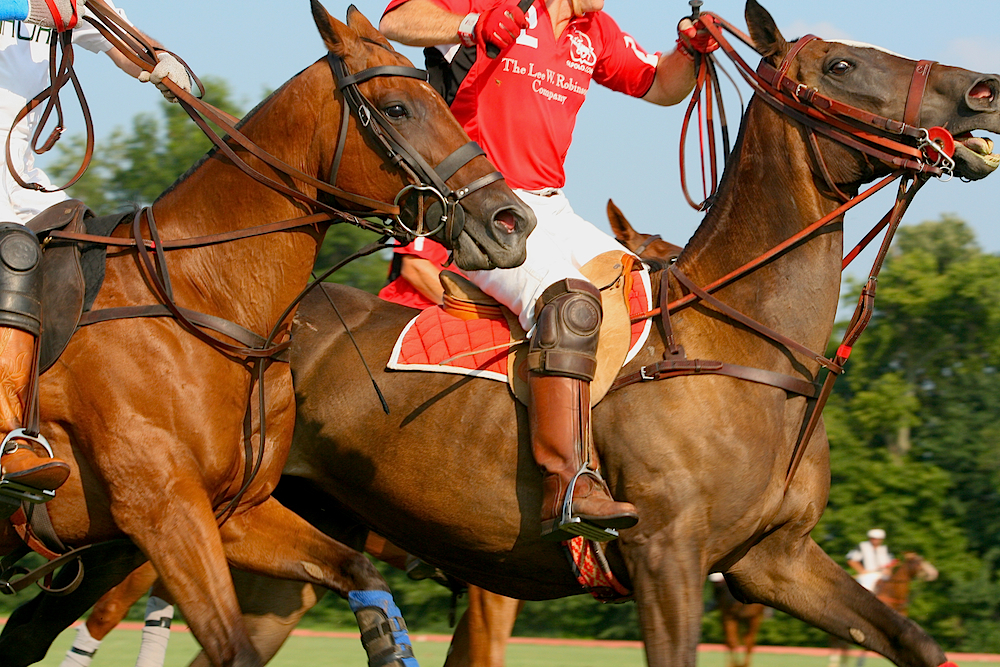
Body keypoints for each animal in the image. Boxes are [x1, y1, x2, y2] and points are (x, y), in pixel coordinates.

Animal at [0, 2, 536, 664]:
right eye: (396, 108)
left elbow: (358, 572)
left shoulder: (236, 510)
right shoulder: (162, 507)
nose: (511, 221)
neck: (207, 296)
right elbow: (234, 645)